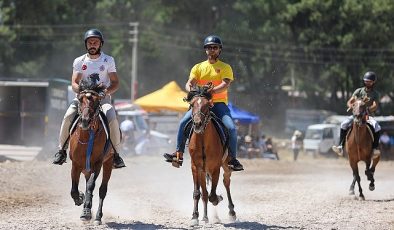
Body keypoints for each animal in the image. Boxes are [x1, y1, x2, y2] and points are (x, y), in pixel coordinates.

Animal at [68, 79, 112, 225]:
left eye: (96, 101)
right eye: (80, 99)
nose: (85, 121)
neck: (87, 136)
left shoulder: (97, 164)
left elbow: (91, 186)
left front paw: (87, 211)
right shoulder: (75, 164)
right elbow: (74, 189)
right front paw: (80, 199)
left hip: (108, 163)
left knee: (102, 189)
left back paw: (97, 216)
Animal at [186, 83, 235, 226]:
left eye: (207, 105)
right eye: (192, 104)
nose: (197, 123)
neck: (202, 140)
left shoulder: (215, 168)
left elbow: (213, 195)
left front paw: (219, 198)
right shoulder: (196, 167)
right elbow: (198, 193)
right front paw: (194, 217)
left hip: (226, 166)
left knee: (226, 182)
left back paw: (231, 212)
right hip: (203, 171)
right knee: (204, 193)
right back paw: (205, 217)